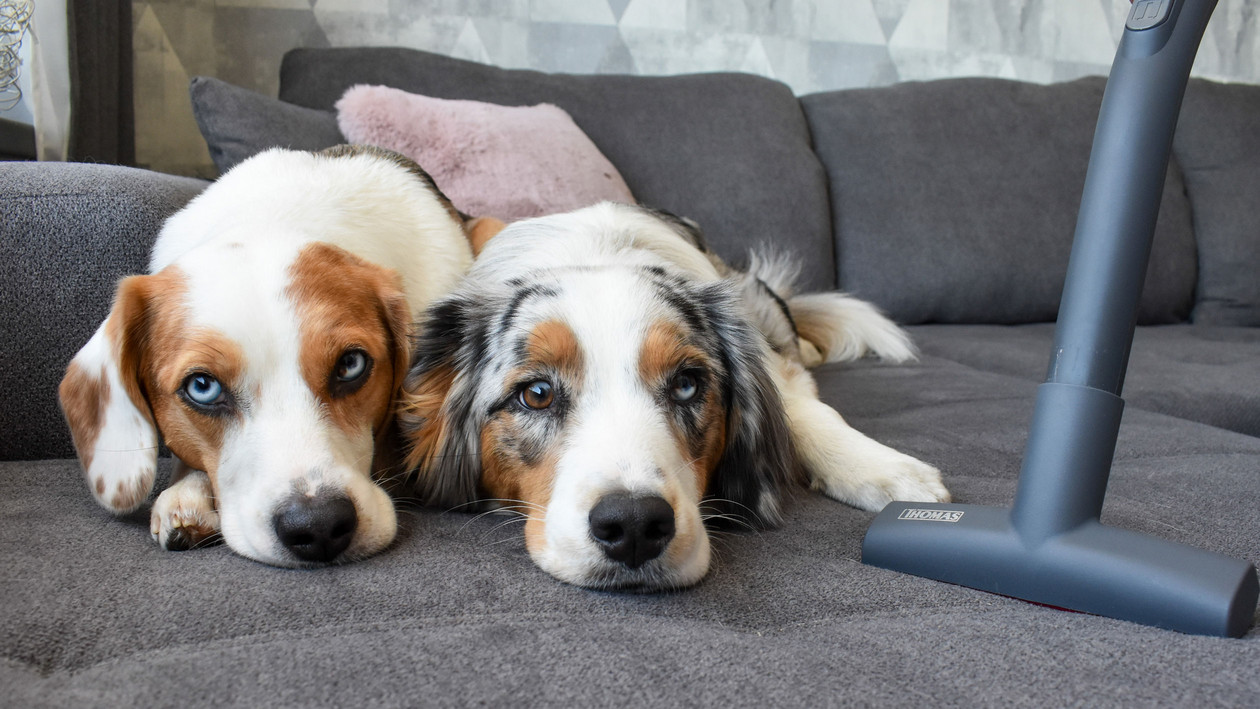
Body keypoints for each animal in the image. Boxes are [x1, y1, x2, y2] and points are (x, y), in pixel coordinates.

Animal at [398, 202, 947, 591]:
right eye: (535, 394)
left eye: (687, 383)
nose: (634, 525)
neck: (594, 251)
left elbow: (806, 408)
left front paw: (883, 469)